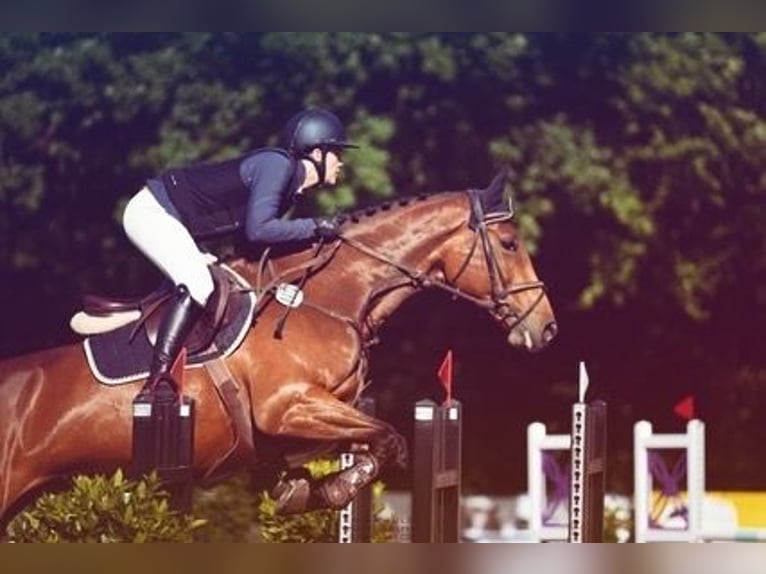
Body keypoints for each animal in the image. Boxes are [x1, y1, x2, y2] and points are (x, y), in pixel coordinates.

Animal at [0, 169, 557, 525]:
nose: (547, 329)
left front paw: (296, 489)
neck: (326, 298)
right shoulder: (288, 405)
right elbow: (389, 439)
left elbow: (365, 443)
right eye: (510, 244)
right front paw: (329, 490)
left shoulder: (321, 413)